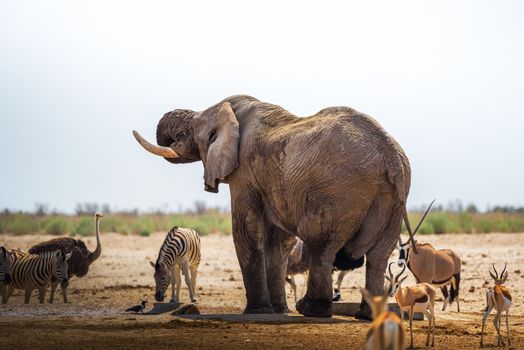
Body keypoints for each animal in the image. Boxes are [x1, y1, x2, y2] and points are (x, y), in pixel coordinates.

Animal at [133, 94, 416, 318]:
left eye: (192, 132)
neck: (231, 110)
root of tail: (391, 155)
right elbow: (279, 240)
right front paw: (278, 311)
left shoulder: (244, 172)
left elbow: (247, 230)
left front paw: (257, 312)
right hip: (395, 198)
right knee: (379, 255)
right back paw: (366, 315)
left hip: (339, 191)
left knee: (320, 244)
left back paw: (310, 310)